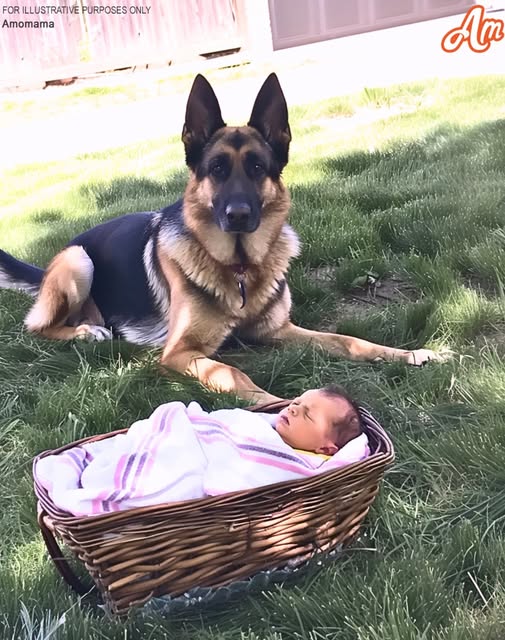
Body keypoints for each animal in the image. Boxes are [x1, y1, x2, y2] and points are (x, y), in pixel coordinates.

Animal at [0, 75, 444, 402]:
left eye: (258, 167)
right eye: (216, 169)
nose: (238, 216)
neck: (240, 266)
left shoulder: (279, 331)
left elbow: (349, 340)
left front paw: (408, 354)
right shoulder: (181, 352)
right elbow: (230, 372)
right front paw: (274, 405)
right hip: (78, 261)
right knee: (38, 327)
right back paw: (85, 332)